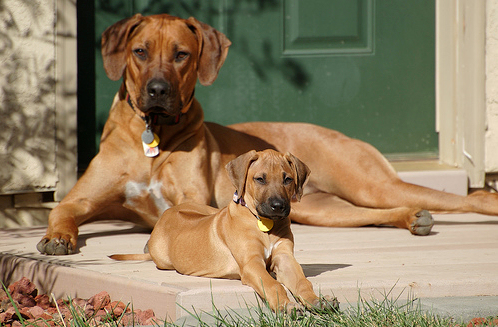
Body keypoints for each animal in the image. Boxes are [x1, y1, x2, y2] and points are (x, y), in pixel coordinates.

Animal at [37, 13, 498, 256]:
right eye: (140, 52)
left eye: (182, 55)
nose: (158, 90)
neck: (154, 135)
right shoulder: (80, 199)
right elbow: (61, 211)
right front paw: (57, 239)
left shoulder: (194, 200)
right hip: (323, 209)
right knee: (375, 213)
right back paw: (411, 219)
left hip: (369, 183)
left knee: (469, 197)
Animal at [112, 150, 338, 314]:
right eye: (260, 179)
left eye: (288, 179)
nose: (278, 206)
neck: (264, 224)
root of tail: (166, 214)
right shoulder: (251, 264)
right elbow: (272, 284)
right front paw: (286, 305)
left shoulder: (285, 258)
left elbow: (302, 281)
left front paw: (317, 300)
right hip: (164, 260)